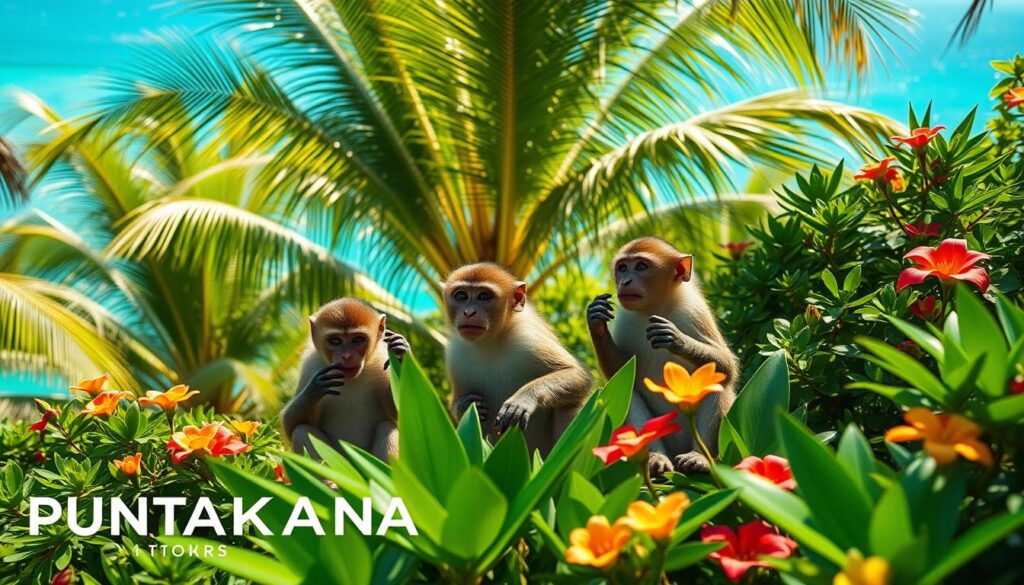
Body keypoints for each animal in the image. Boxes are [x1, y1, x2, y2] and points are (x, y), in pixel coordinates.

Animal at [281, 298, 410, 462]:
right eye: (335, 340)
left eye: (358, 339)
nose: (347, 356)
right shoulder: (310, 366)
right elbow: (290, 425)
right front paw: (315, 389)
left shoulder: (382, 361)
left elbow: (400, 414)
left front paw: (401, 353)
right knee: (302, 430)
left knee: (388, 426)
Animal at [443, 263, 593, 456]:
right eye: (461, 295)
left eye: (484, 296)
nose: (469, 312)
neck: (491, 343)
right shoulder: (455, 353)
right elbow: (463, 406)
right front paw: (464, 404)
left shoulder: (528, 337)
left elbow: (578, 375)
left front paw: (523, 399)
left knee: (569, 404)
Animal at [587, 237, 739, 475]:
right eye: (622, 267)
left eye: (641, 266)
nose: (625, 281)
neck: (656, 306)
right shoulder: (624, 319)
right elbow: (622, 371)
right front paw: (596, 320)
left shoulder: (694, 312)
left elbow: (727, 367)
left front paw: (676, 339)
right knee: (631, 393)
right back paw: (655, 458)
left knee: (717, 380)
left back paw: (700, 457)